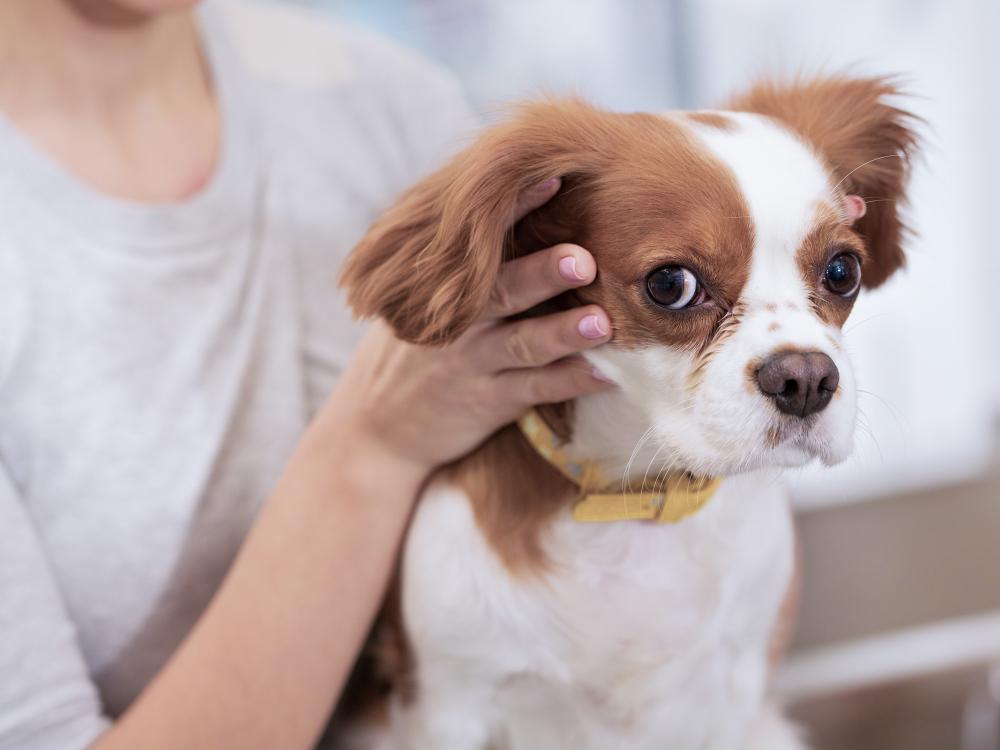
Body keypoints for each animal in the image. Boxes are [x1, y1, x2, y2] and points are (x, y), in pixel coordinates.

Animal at [338, 73, 920, 748]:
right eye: (671, 284)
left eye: (842, 271)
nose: (805, 379)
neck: (636, 499)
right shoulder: (448, 703)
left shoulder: (735, 693)